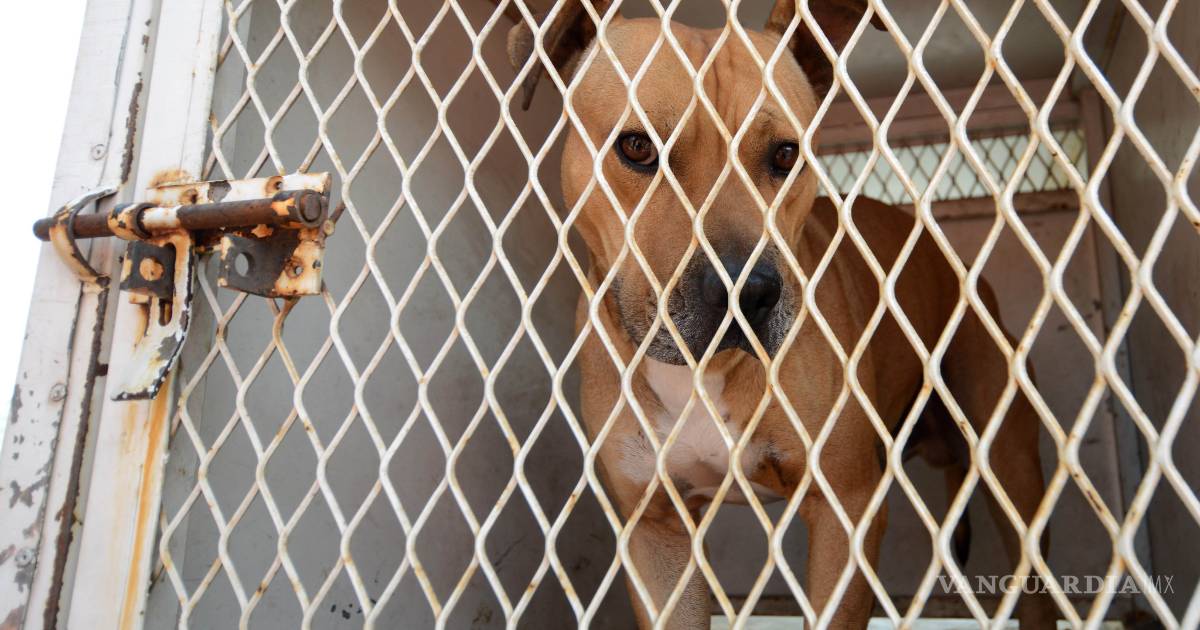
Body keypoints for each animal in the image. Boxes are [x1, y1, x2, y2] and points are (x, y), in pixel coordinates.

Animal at [507, 1, 1056, 627]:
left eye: (785, 155)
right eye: (638, 148)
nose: (746, 292)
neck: (705, 375)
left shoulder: (846, 511)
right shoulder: (657, 534)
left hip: (1010, 466)